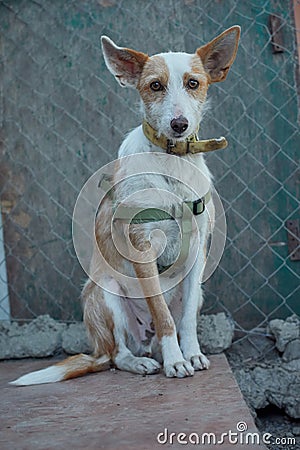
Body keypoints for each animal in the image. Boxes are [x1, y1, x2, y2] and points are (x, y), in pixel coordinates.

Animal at [11, 27, 240, 386]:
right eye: (155, 86)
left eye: (194, 83)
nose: (179, 124)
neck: (171, 163)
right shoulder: (143, 248)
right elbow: (163, 316)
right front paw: (176, 362)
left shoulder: (197, 254)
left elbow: (186, 319)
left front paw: (191, 355)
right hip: (104, 292)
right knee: (116, 356)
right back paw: (142, 362)